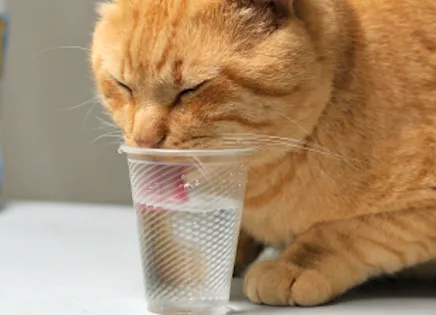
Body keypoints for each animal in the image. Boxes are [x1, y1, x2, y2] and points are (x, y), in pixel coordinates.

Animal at [90, 0, 436, 308]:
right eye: (123, 85)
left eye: (191, 89)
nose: (144, 139)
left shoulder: (419, 210)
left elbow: (340, 233)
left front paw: (289, 266)